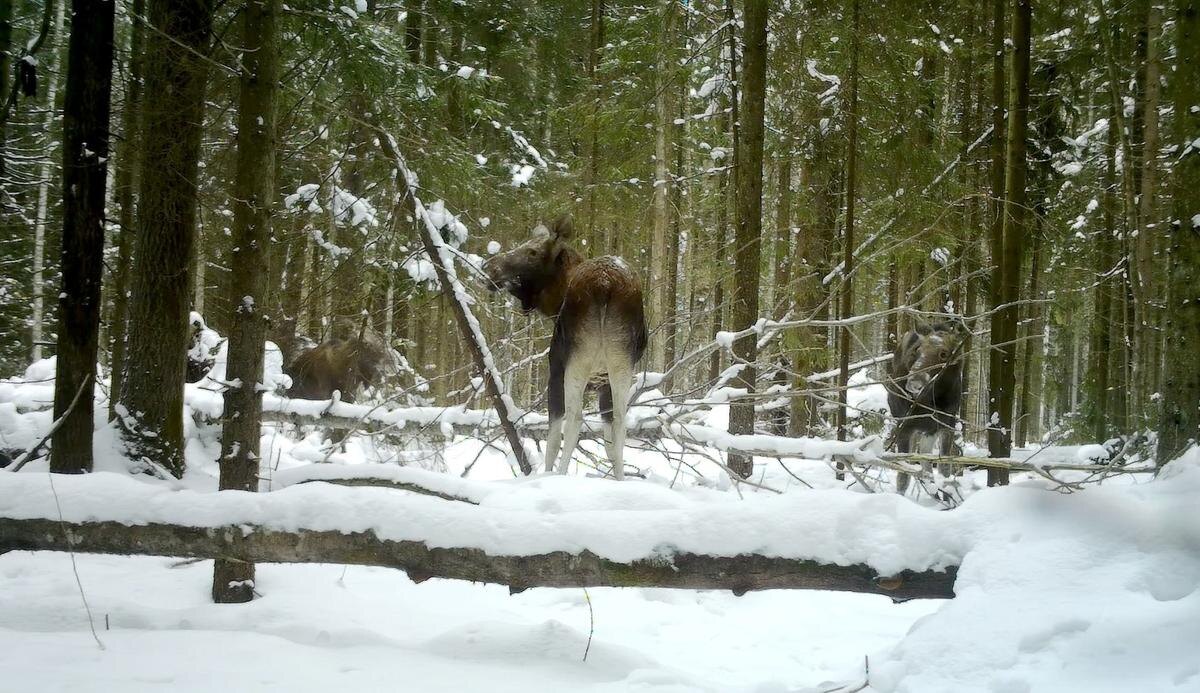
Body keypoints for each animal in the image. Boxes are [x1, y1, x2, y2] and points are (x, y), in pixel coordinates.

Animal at [482, 214, 648, 474]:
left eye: (532, 251)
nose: (488, 267)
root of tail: (605, 284)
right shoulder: (603, 383)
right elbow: (609, 445)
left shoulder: (555, 371)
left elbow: (552, 439)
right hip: (620, 362)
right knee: (620, 421)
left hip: (576, 361)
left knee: (574, 420)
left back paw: (560, 474)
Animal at [888, 318, 969, 491]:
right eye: (917, 350)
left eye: (944, 354)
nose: (914, 382)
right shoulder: (904, 427)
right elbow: (903, 476)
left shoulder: (946, 425)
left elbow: (945, 469)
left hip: (929, 431)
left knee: (926, 460)